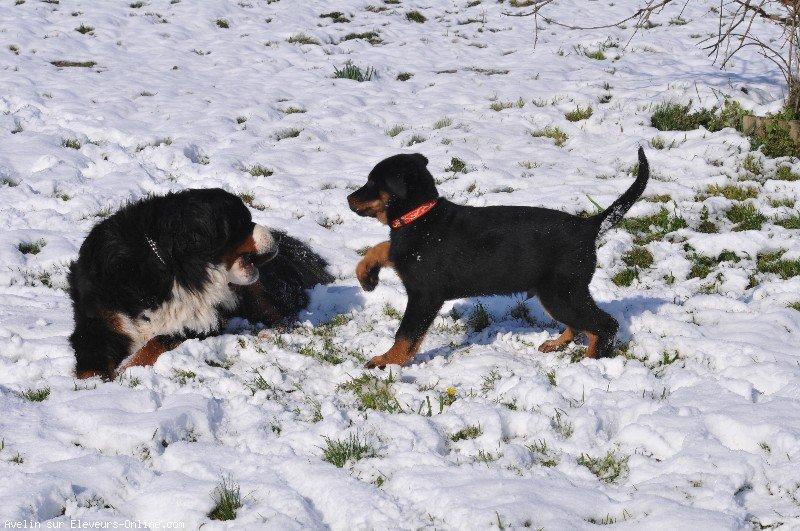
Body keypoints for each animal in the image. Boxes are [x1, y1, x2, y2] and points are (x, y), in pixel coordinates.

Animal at [67, 189, 332, 380]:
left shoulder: (194, 324)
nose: (274, 239)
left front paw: (128, 369)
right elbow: (89, 361)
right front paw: (93, 386)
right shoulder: (99, 320)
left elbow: (156, 343)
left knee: (283, 314)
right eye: (242, 224)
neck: (170, 267)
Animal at [350, 148, 648, 368]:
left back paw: (591, 363)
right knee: (582, 325)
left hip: (561, 292)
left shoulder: (424, 296)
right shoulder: (402, 254)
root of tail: (589, 226)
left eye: (373, 182)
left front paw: (386, 362)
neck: (420, 216)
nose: (348, 198)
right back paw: (556, 344)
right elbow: (383, 247)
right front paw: (366, 277)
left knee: (604, 324)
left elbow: (406, 334)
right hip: (561, 293)